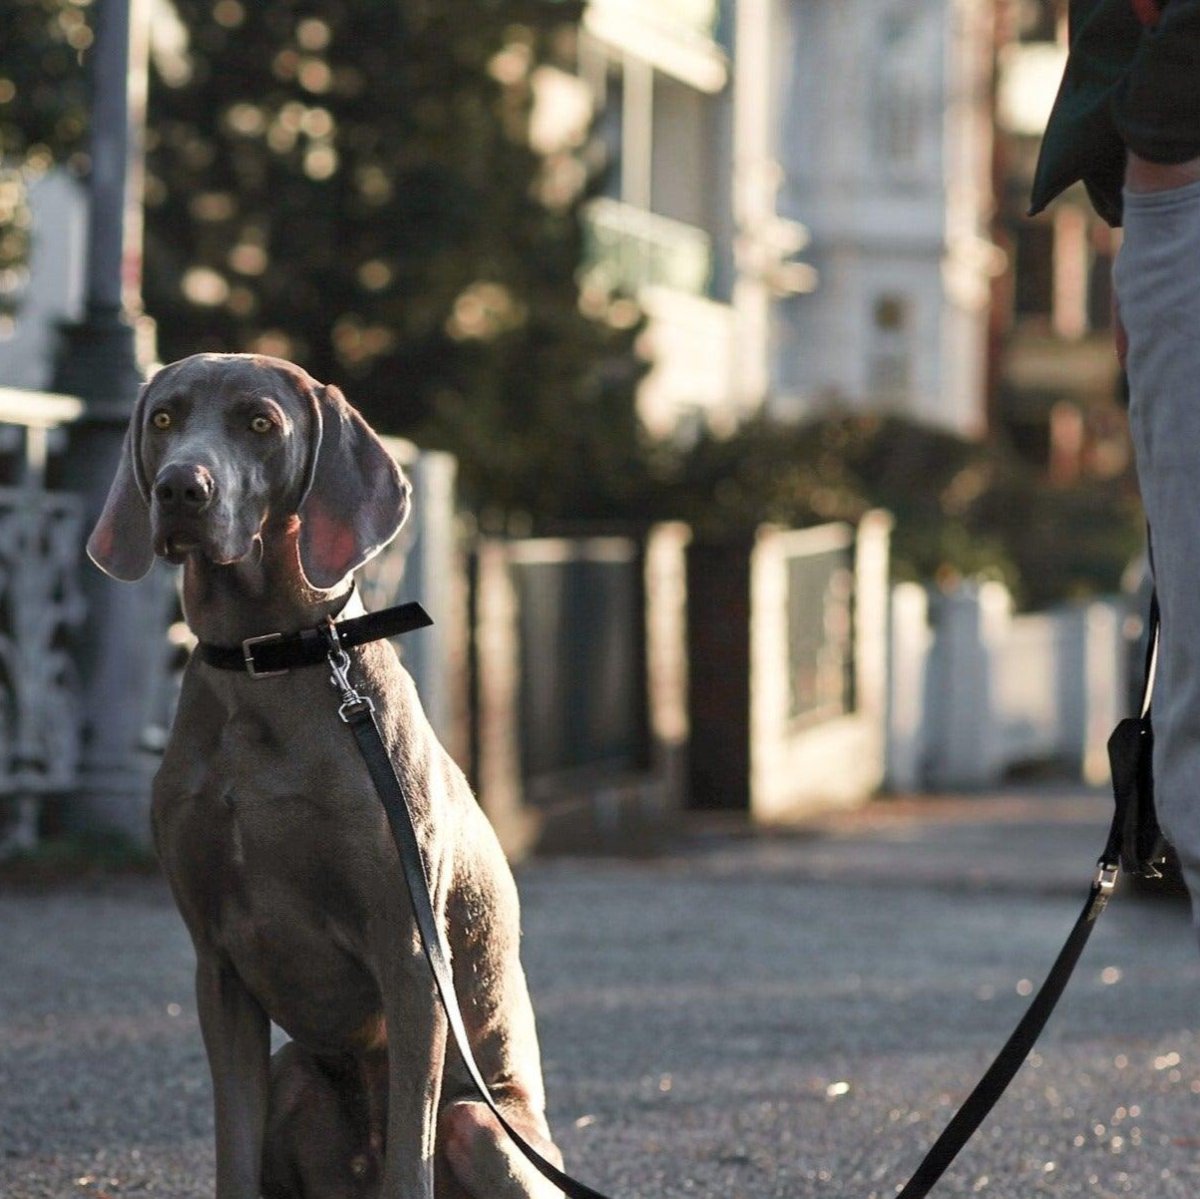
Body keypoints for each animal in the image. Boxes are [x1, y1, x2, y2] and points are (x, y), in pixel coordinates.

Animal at [88, 352, 566, 1199]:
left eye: (259, 422)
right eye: (165, 418)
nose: (181, 489)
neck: (266, 664)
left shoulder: (411, 955)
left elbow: (410, 1157)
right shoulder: (218, 965)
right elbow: (232, 1153)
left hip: (479, 1125)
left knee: (450, 1128)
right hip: (294, 1077)